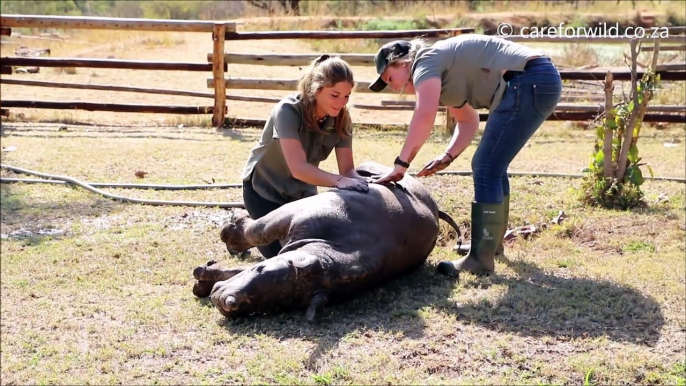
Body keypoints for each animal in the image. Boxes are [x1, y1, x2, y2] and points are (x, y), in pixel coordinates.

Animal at [192, 161, 462, 322]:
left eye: (275, 306)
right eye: (261, 270)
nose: (228, 303)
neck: (328, 254)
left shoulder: (291, 216)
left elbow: (256, 231)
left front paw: (229, 233)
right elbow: (252, 246)